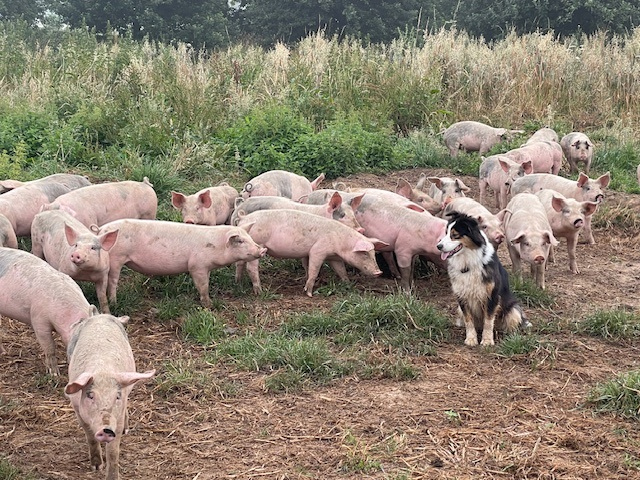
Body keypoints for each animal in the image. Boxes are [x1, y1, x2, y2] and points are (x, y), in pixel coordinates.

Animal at [64, 316, 155, 480]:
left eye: (117, 396)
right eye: (90, 395)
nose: (106, 429)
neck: (102, 370)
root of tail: (100, 316)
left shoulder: (117, 419)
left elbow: (113, 452)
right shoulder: (77, 409)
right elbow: (90, 436)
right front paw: (96, 467)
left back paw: (127, 430)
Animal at [97, 218, 264, 308]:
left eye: (250, 237)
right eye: (240, 241)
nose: (262, 249)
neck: (216, 245)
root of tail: (100, 231)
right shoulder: (197, 266)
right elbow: (203, 285)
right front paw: (209, 304)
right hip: (116, 258)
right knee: (112, 282)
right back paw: (114, 303)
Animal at [235, 211, 384, 296]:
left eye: (373, 253)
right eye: (364, 254)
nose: (379, 272)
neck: (340, 241)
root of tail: (243, 219)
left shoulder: (333, 258)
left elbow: (341, 270)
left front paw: (347, 284)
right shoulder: (318, 250)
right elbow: (314, 269)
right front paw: (309, 293)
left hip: (245, 250)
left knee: (240, 264)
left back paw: (239, 282)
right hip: (258, 245)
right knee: (251, 268)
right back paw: (260, 292)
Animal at [438, 213, 528, 344]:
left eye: (454, 235)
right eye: (446, 233)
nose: (438, 246)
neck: (469, 262)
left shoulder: (492, 296)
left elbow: (488, 321)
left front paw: (487, 341)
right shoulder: (462, 297)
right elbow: (468, 320)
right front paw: (471, 339)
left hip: (513, 310)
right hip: (459, 309)